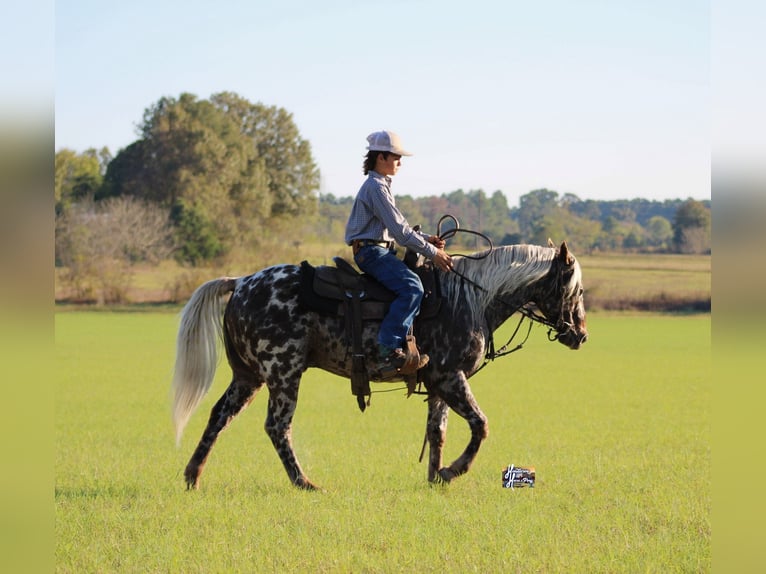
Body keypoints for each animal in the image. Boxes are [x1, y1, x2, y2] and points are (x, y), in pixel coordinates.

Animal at [172, 242, 588, 490]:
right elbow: (480, 425)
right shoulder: (450, 377)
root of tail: (241, 282)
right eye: (578, 289)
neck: (469, 298)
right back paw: (304, 482)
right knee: (277, 426)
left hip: (249, 376)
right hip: (283, 373)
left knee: (219, 416)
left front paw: (435, 477)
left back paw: (192, 476)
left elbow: (437, 432)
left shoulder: (439, 385)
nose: (581, 335)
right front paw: (453, 471)